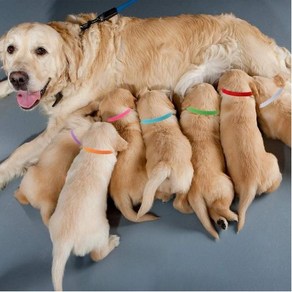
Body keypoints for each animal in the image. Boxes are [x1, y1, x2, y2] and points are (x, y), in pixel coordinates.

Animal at [136, 89, 194, 219]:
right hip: (186, 181)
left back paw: (165, 198)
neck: (157, 121)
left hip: (158, 184)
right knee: (178, 203)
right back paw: (189, 210)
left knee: (164, 194)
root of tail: (165, 166)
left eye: (151, 90)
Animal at [179, 83, 238, 238]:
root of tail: (197, 192)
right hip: (227, 186)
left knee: (211, 210)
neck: (201, 113)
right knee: (219, 206)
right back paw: (232, 216)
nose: (206, 83)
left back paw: (221, 222)